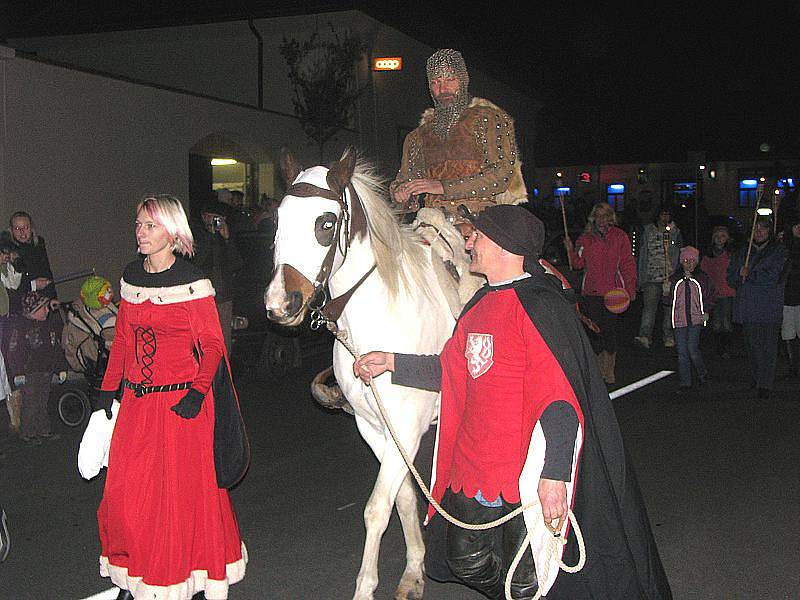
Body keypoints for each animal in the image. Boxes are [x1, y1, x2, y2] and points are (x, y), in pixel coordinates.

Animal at [266, 148, 456, 596]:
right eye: (278, 220)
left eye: (326, 223)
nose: (281, 303)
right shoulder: (375, 427)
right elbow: (402, 499)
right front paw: (414, 571)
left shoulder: (406, 426)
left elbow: (376, 509)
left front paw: (365, 586)